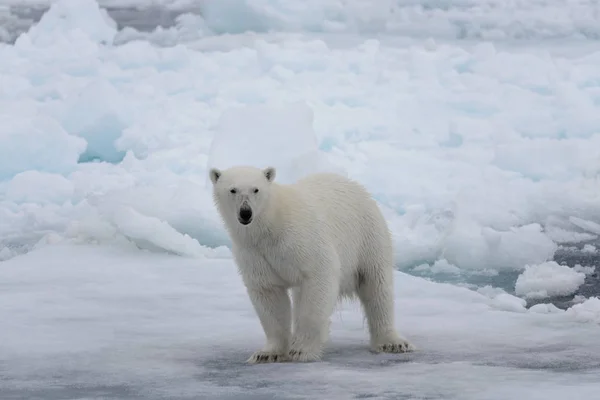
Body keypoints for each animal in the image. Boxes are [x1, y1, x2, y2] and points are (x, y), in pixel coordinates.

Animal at [210, 164, 412, 364]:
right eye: (233, 190)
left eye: (256, 189)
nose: (245, 213)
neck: (271, 224)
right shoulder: (254, 253)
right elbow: (268, 293)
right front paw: (267, 354)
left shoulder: (301, 240)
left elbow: (318, 279)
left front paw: (302, 350)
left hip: (367, 236)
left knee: (376, 285)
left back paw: (391, 342)